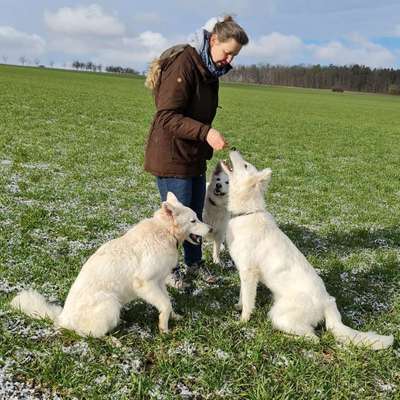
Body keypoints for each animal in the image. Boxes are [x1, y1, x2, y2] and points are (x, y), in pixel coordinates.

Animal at [10, 192, 211, 336]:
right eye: (193, 220)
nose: (211, 229)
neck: (164, 232)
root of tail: (63, 317)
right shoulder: (145, 284)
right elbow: (165, 304)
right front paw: (164, 329)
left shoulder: (159, 282)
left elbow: (167, 302)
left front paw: (173, 317)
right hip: (111, 304)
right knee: (89, 335)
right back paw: (114, 341)